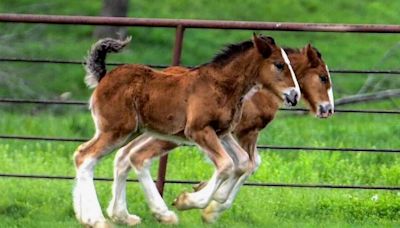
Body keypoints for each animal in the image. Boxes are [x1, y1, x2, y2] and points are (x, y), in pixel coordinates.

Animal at [72, 33, 300, 226]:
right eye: (279, 65)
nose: (294, 95)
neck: (222, 86)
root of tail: (104, 77)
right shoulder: (198, 130)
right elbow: (226, 164)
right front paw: (188, 200)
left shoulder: (222, 133)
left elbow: (244, 162)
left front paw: (216, 199)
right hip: (115, 130)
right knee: (86, 156)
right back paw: (95, 219)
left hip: (132, 132)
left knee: (107, 157)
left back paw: (117, 217)